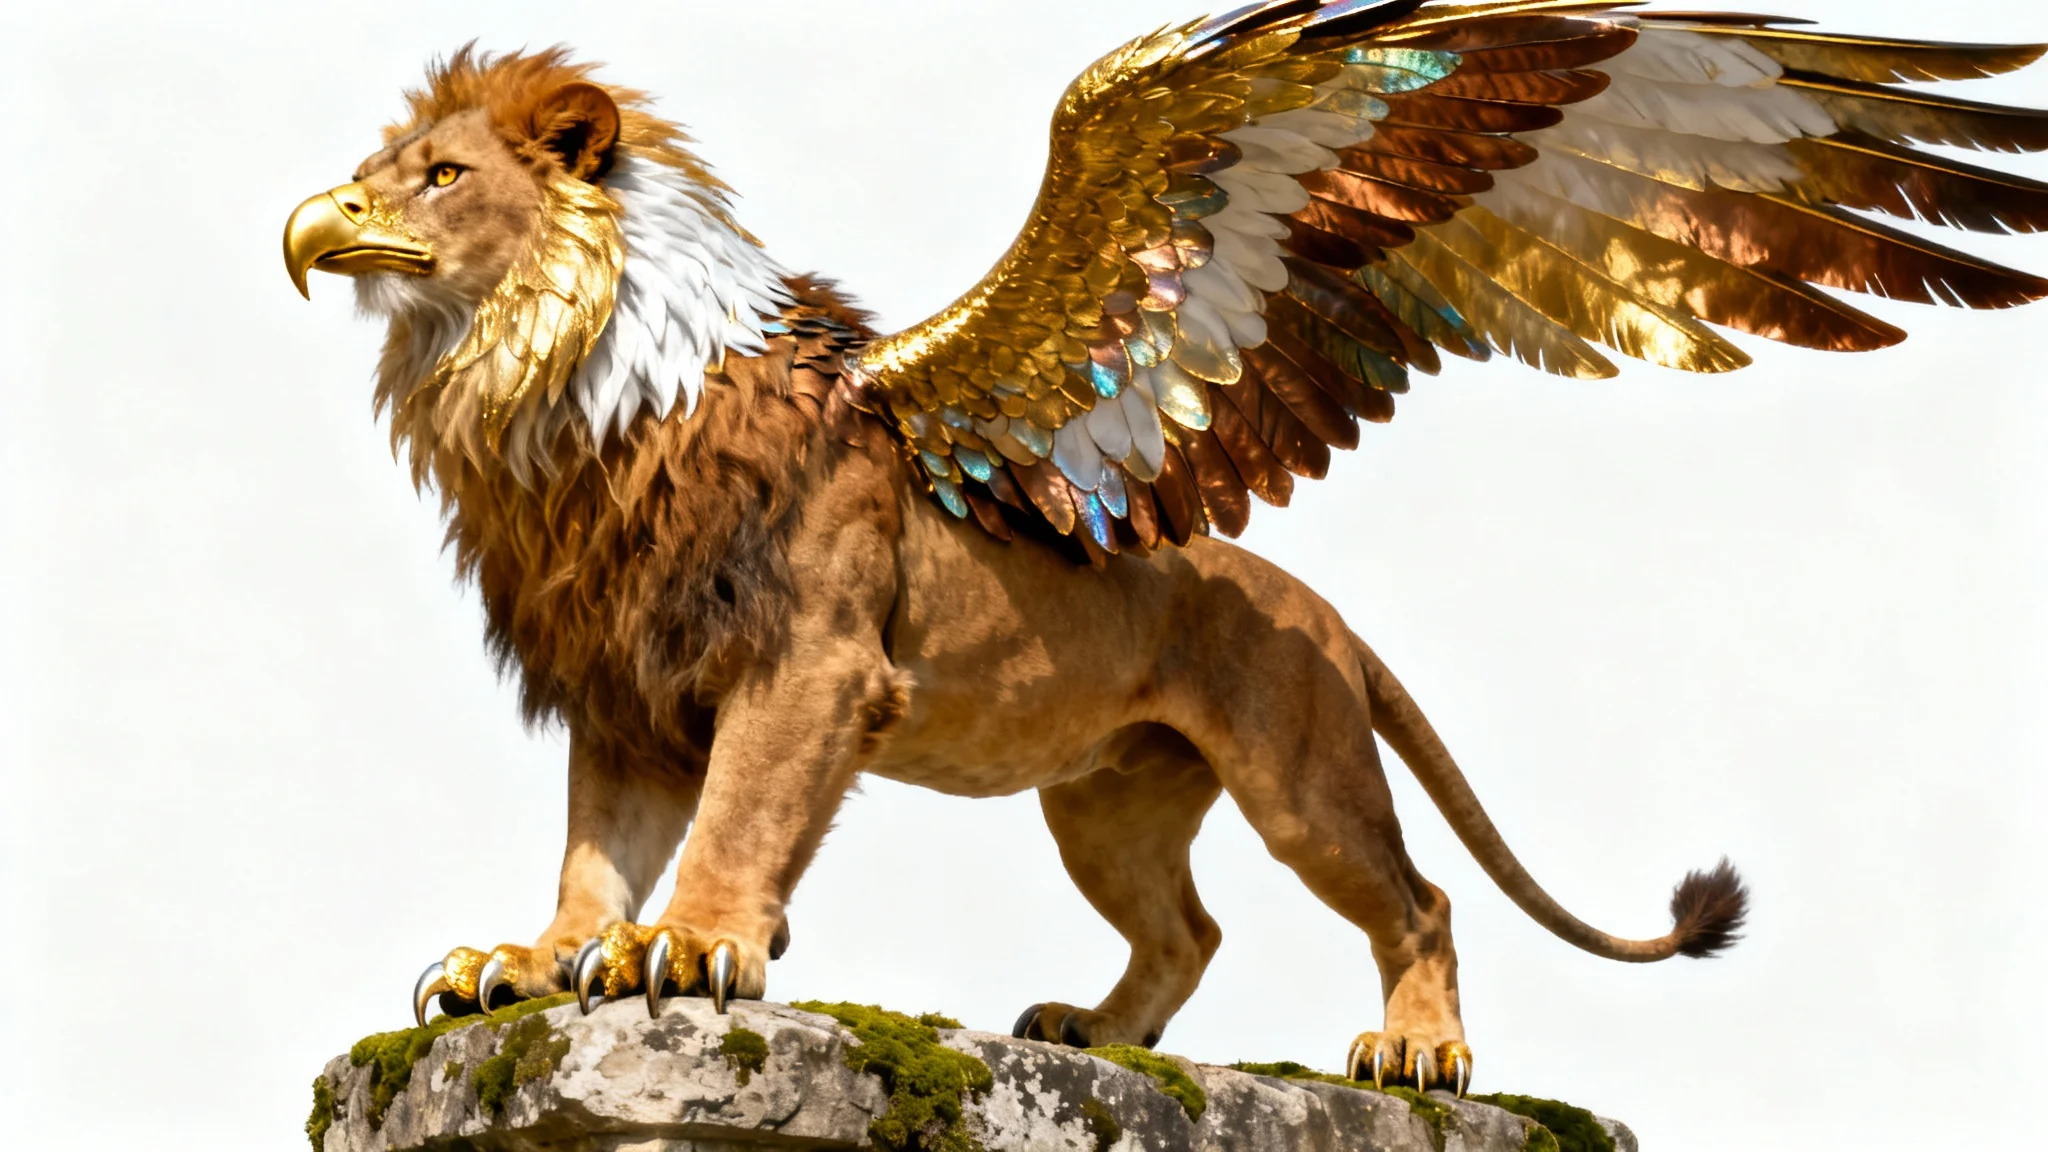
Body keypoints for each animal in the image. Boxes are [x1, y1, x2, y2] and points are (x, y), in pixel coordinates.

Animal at [283, 2, 2048, 1093]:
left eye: (436, 177)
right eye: (369, 175)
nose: (308, 228)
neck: (550, 390)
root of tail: (1314, 601)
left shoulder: (809, 663)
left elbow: (735, 824)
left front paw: (695, 950)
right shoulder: (625, 680)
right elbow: (596, 846)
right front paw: (530, 965)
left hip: (1302, 770)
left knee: (1415, 899)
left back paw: (1417, 1057)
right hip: (1106, 800)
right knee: (1186, 929)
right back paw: (1090, 1035)